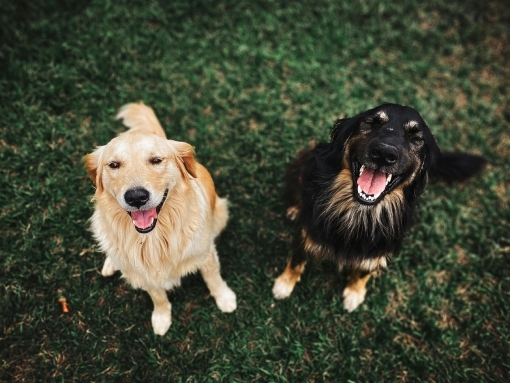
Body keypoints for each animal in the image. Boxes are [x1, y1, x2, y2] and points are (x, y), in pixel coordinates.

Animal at [85, 102, 237, 336]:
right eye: (114, 165)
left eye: (156, 160)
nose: (136, 197)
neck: (153, 239)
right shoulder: (145, 275)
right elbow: (158, 297)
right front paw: (161, 318)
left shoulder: (205, 254)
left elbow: (213, 278)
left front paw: (224, 298)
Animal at [272, 103, 484, 314]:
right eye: (372, 122)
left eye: (415, 137)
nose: (384, 154)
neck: (360, 211)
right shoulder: (306, 232)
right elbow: (296, 261)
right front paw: (284, 284)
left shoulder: (379, 250)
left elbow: (363, 272)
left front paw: (354, 293)